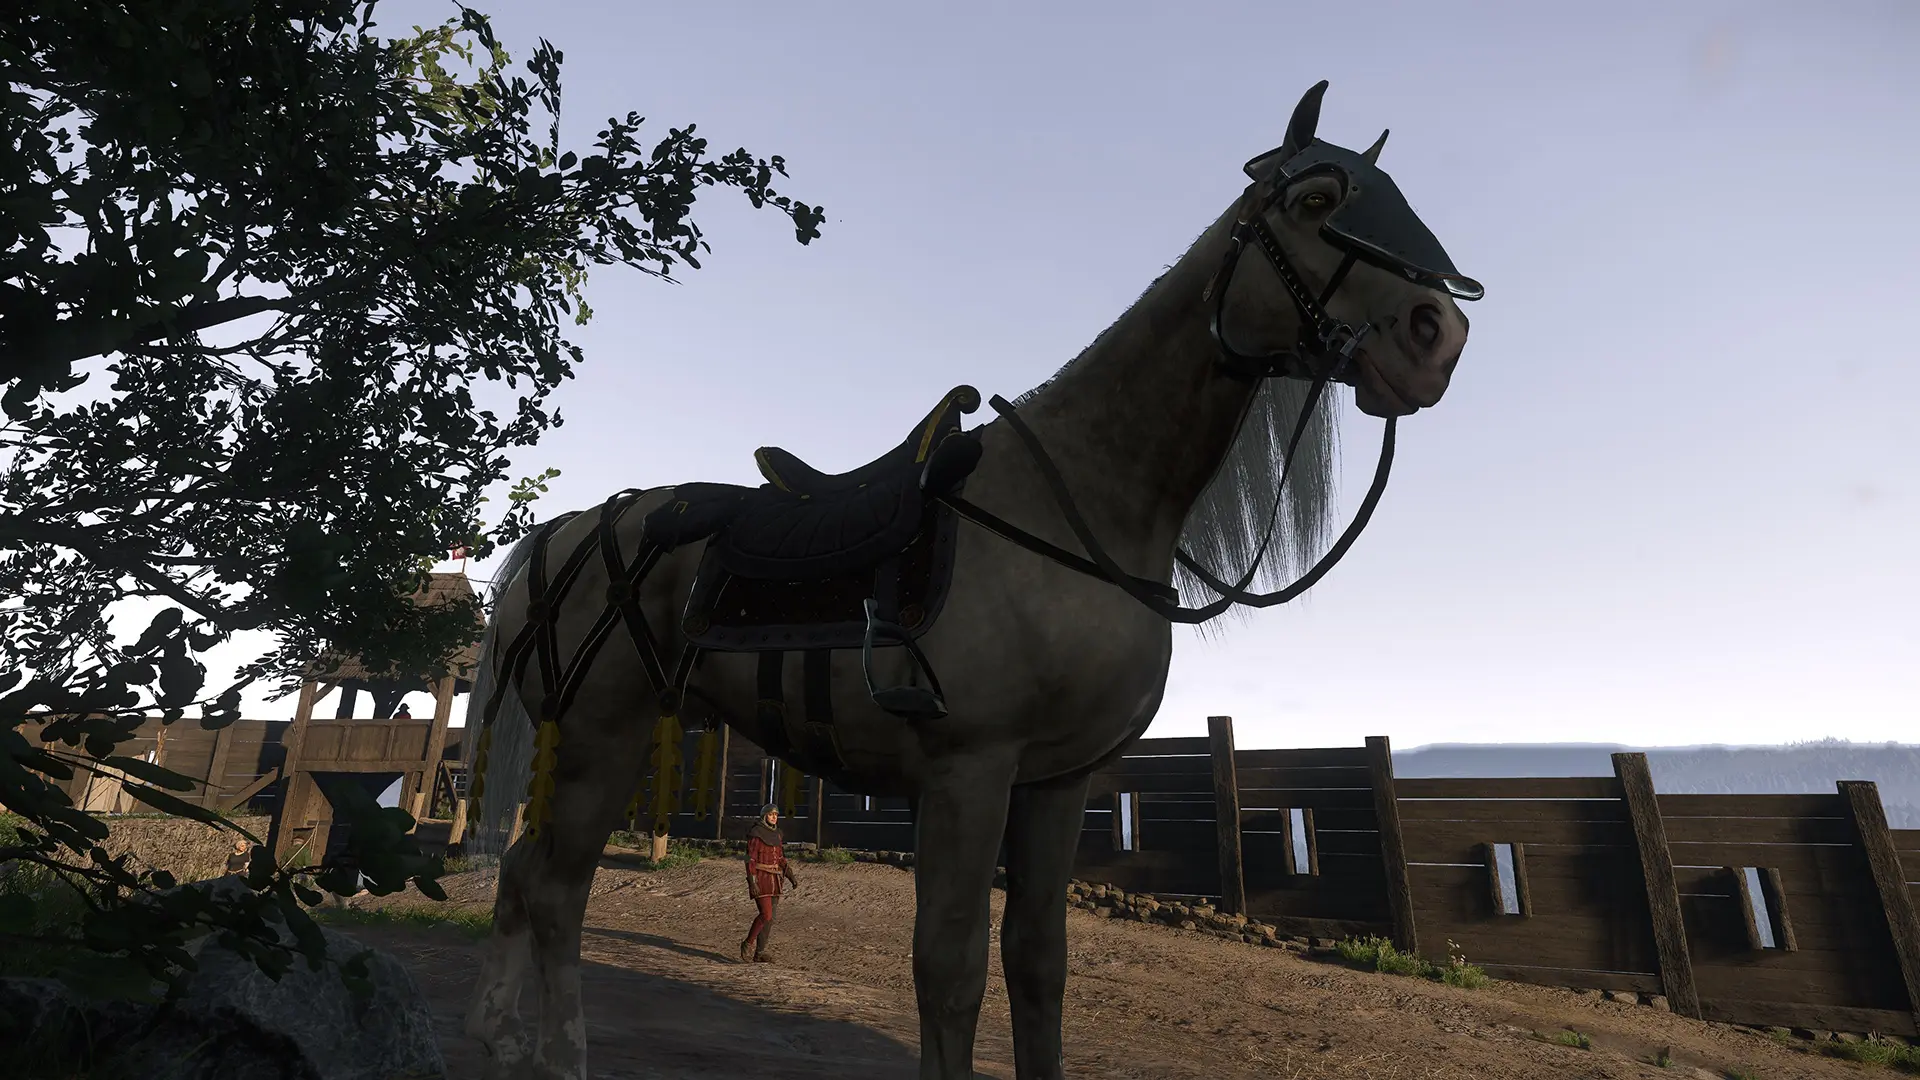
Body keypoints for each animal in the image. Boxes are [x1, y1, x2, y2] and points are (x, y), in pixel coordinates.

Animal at [458, 80, 1480, 1080]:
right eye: (1316, 201)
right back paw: (555, 1056)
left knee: (521, 879)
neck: (1080, 503)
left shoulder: (1058, 784)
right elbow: (949, 974)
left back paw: (502, 1037)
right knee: (555, 889)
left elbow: (1038, 967)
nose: (1441, 334)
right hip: (601, 739)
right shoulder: (969, 775)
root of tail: (564, 533)